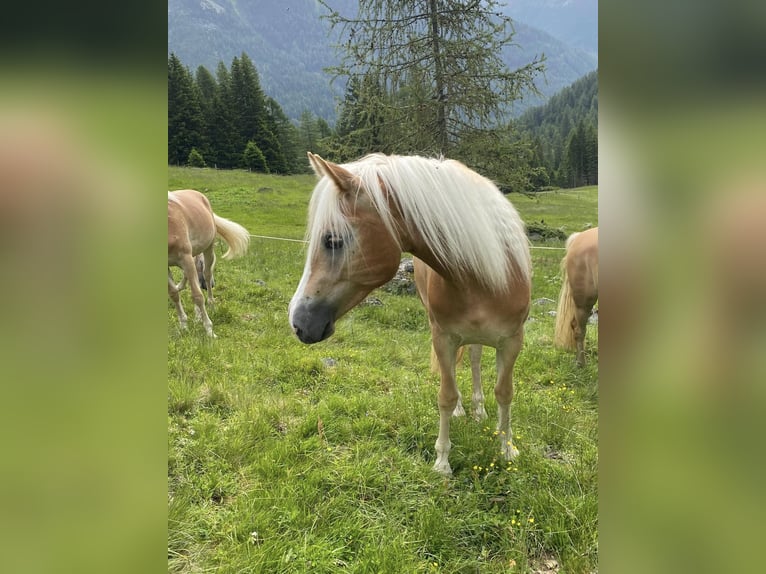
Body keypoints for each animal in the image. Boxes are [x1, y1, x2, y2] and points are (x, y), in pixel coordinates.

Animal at [169, 191, 250, 340]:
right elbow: (174, 294)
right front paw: (184, 326)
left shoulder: (185, 258)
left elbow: (198, 296)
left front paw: (209, 330)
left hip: (208, 250)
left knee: (206, 275)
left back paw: (211, 305)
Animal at [292, 153, 532, 476]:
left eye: (333, 240)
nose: (298, 322)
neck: (482, 277)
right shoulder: (443, 337)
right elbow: (446, 395)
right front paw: (442, 462)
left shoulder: (512, 341)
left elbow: (505, 392)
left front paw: (507, 449)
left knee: (474, 359)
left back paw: (479, 410)